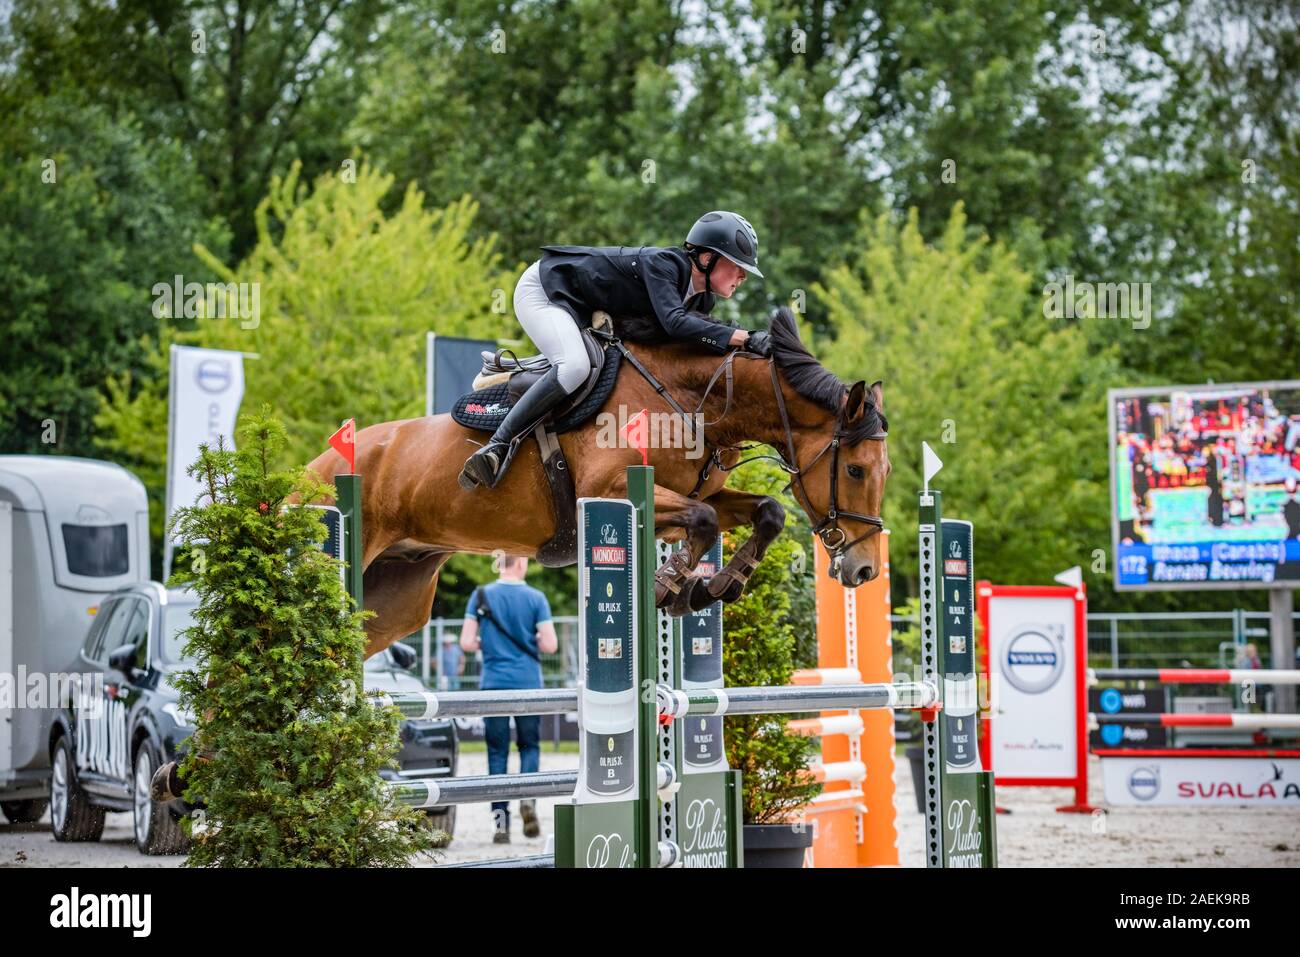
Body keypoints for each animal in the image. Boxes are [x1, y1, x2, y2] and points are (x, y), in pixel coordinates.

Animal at [305, 306, 894, 657]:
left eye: (883, 471)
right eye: (855, 469)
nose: (864, 570)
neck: (694, 399)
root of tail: (313, 468)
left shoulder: (696, 495)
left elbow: (764, 511)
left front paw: (715, 586)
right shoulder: (610, 492)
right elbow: (703, 520)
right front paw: (671, 587)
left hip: (397, 598)